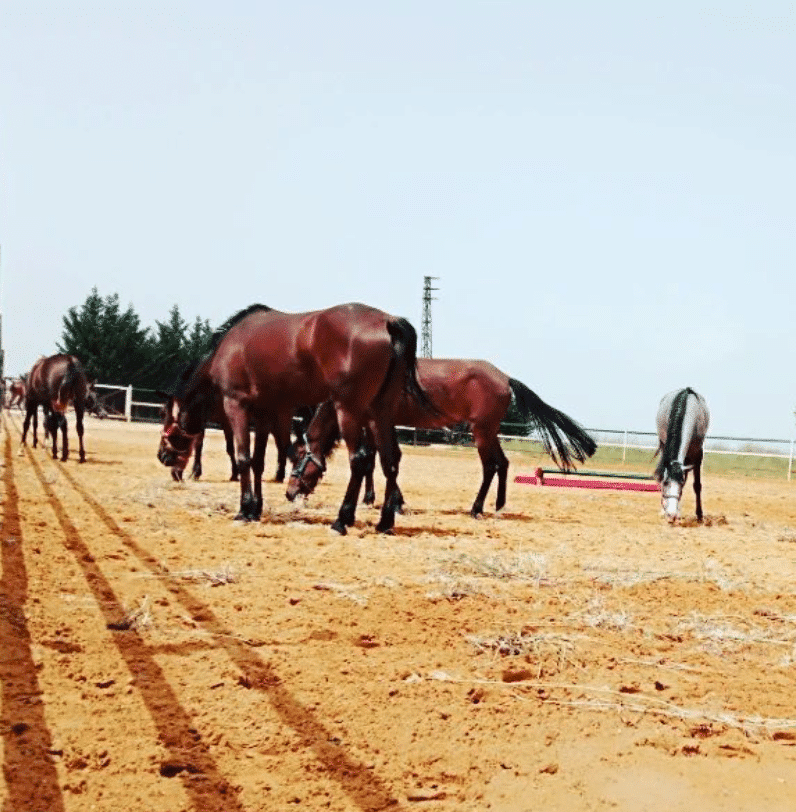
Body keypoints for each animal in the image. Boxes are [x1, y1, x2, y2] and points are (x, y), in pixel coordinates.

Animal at [157, 304, 430, 532]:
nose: (162, 456)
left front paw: (244, 509)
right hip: (379, 411)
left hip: (350, 410)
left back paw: (342, 519)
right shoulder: (265, 412)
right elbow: (258, 462)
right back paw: (385, 522)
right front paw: (255, 509)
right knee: (389, 460)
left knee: (360, 460)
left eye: (163, 414)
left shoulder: (237, 406)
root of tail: (388, 321)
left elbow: (243, 458)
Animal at [292, 356, 596, 520]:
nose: (290, 492)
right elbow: (385, 459)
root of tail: (505, 378)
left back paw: (476, 509)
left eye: (298, 456)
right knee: (503, 463)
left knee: (490, 466)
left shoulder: (374, 423)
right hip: (489, 431)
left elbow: (380, 460)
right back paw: (498, 506)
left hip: (482, 431)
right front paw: (388, 500)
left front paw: (390, 503)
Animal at [652, 386, 708, 524]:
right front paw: (664, 509)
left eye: (680, 483)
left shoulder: (698, 454)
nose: (671, 515)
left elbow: (696, 485)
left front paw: (699, 515)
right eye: (665, 482)